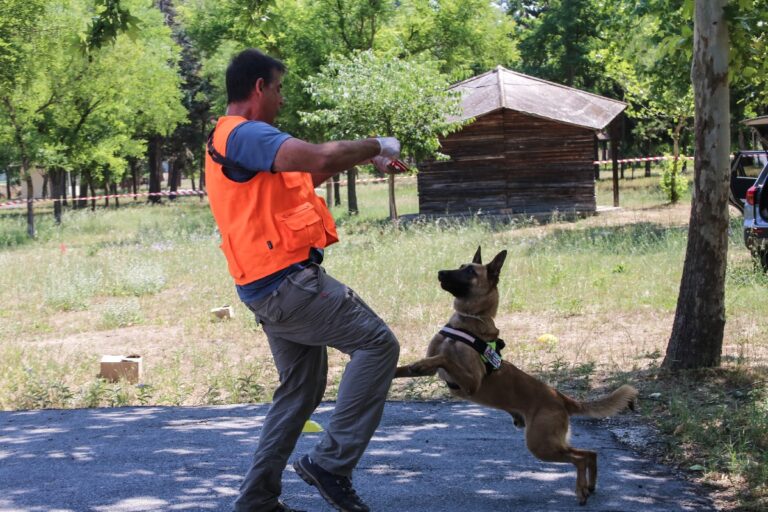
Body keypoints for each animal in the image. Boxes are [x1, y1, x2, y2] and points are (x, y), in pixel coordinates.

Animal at [392, 247, 640, 504]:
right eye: (460, 265)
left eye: (470, 271)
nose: (440, 272)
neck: (469, 321)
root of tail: (560, 397)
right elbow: (406, 367)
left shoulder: (471, 383)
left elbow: (444, 358)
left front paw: (421, 363)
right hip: (549, 442)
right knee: (590, 453)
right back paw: (590, 486)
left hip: (541, 444)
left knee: (580, 458)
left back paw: (581, 490)